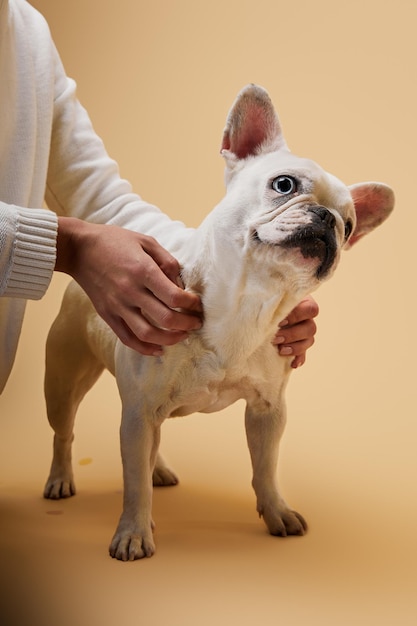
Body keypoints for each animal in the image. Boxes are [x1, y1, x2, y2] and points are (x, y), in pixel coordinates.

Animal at [42, 85, 394, 560]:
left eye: (351, 224)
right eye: (284, 184)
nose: (329, 218)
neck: (247, 302)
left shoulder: (268, 411)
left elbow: (265, 467)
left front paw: (277, 511)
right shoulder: (138, 409)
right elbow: (133, 485)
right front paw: (133, 532)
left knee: (150, 446)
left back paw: (158, 469)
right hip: (64, 382)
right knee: (66, 433)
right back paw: (61, 478)